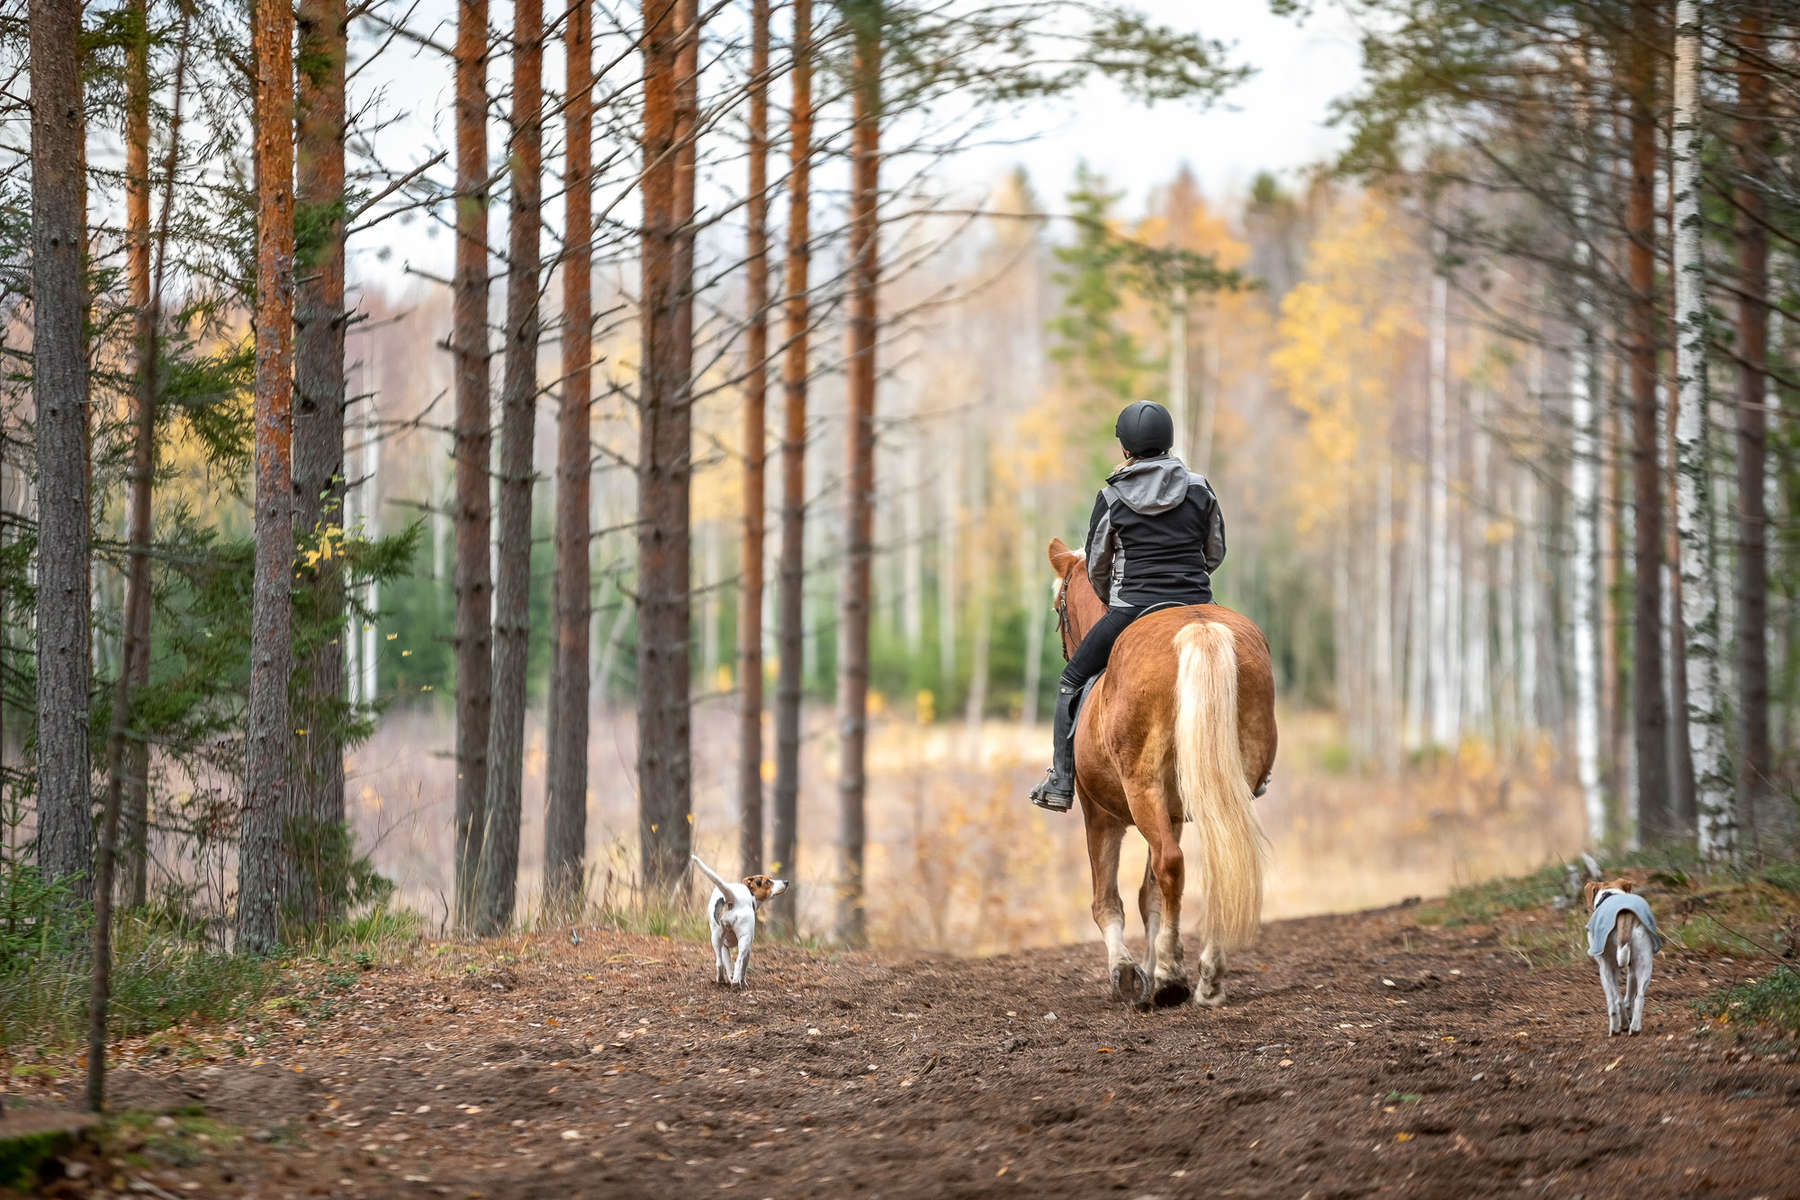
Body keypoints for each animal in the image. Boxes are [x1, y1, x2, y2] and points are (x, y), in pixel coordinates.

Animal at [687, 852, 788, 985]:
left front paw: (730, 977)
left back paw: (722, 979)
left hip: (716, 938)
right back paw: (735, 983)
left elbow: (728, 965)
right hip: (744, 939)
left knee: (719, 963)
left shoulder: (725, 947)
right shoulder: (748, 946)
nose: (786, 882)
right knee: (738, 961)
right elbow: (743, 967)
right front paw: (742, 981)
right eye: (767, 882)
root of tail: (733, 899)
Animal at [1051, 539, 1274, 1007]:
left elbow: (1109, 899)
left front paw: (1129, 972)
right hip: (1218, 794)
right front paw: (1149, 971)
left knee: (1171, 864)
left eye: (1058, 606)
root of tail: (1199, 628)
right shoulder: (1172, 815)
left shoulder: (1100, 814)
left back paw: (1172, 975)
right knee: (1217, 868)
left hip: (1142, 789)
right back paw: (1207, 980)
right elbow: (1151, 896)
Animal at [1584, 877, 1663, 1036]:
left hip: (1607, 969)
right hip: (1644, 964)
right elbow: (1628, 998)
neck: (1610, 894)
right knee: (1639, 997)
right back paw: (1635, 1027)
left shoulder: (1605, 970)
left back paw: (1617, 1027)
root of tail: (1624, 913)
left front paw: (1620, 1024)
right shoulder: (1631, 970)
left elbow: (1614, 1001)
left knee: (1616, 1001)